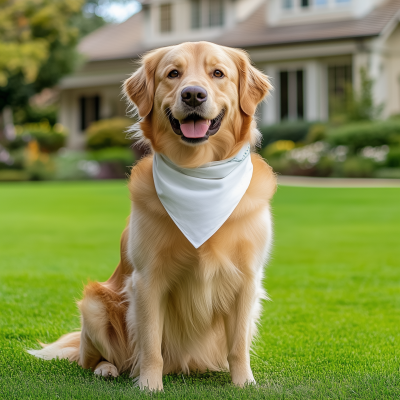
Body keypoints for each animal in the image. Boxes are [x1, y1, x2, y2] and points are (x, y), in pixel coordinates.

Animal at [28, 42, 278, 390]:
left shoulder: (247, 279)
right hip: (94, 304)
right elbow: (149, 344)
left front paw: (244, 384)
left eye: (218, 73)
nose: (193, 94)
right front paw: (148, 385)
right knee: (91, 359)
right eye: (173, 74)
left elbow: (238, 345)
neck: (198, 175)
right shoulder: (147, 280)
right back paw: (107, 369)